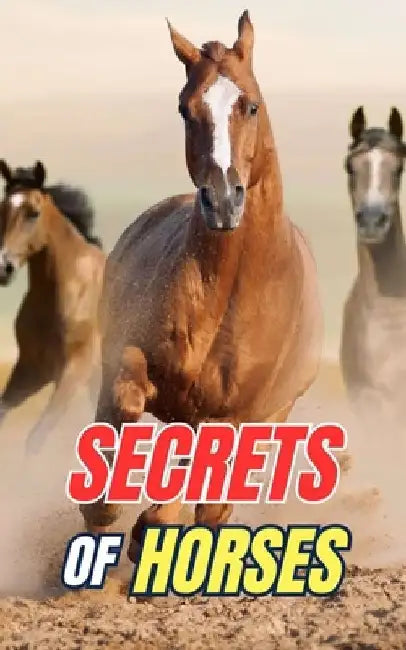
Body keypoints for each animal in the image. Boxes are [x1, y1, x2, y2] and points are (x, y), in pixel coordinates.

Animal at [0, 160, 105, 454]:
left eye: (33, 213)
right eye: (1, 209)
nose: (3, 267)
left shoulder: (73, 371)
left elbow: (37, 438)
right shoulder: (32, 369)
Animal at [79, 11, 323, 563]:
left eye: (250, 104)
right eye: (185, 109)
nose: (223, 200)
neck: (227, 291)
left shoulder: (235, 414)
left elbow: (202, 486)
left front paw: (149, 527)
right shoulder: (130, 361)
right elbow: (123, 407)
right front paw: (111, 514)